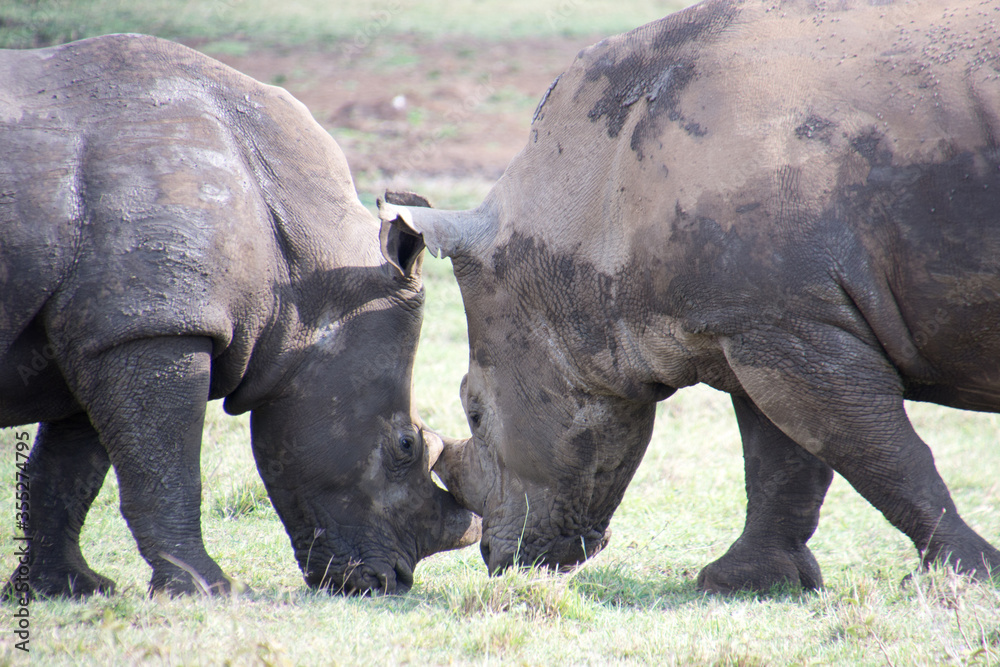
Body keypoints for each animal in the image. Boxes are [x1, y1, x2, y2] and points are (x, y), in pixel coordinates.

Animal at [0, 34, 479, 598]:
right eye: (405, 444)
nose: (391, 582)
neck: (304, 278)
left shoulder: (112, 329)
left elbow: (68, 470)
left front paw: (65, 589)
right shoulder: (157, 326)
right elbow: (167, 470)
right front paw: (208, 592)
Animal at [379, 0, 1000, 593]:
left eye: (476, 411)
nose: (495, 558)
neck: (587, 203)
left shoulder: (787, 323)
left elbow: (881, 455)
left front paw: (963, 579)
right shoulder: (757, 324)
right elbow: (782, 461)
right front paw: (743, 584)